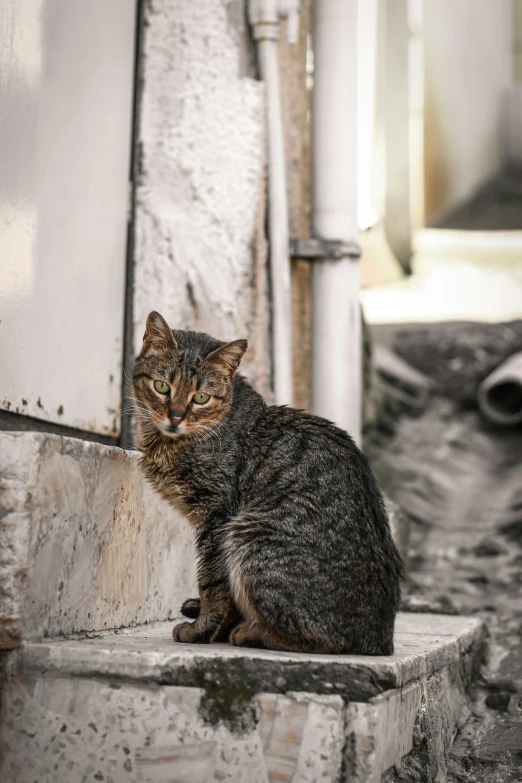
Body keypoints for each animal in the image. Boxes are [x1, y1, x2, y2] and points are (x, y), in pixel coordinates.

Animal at [132, 312, 400, 656]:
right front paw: (216, 628)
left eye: (201, 397)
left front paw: (202, 629)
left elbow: (212, 582)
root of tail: (380, 640)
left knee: (323, 640)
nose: (175, 417)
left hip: (249, 536)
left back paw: (252, 633)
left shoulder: (217, 517)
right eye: (162, 386)